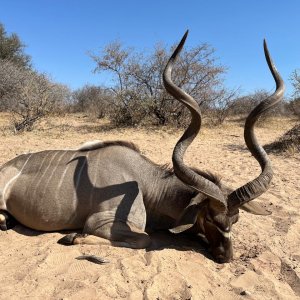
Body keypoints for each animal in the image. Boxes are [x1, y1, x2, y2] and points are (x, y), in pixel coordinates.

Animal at [0, 32, 284, 262]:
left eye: (235, 220)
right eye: (209, 219)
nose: (226, 257)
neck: (145, 183)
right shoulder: (100, 221)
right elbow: (144, 238)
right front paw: (73, 237)